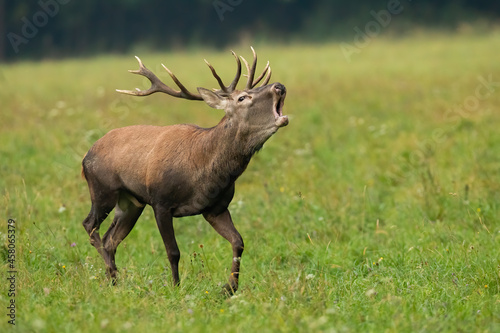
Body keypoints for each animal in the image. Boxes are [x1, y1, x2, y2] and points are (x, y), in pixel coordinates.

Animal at [81, 47, 290, 294]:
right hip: (102, 189)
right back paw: (113, 273)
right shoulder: (161, 202)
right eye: (242, 98)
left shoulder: (216, 208)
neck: (204, 173)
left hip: (131, 202)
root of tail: (85, 157)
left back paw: (113, 281)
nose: (279, 85)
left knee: (110, 239)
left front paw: (230, 288)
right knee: (90, 226)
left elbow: (238, 242)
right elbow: (173, 251)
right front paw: (176, 287)